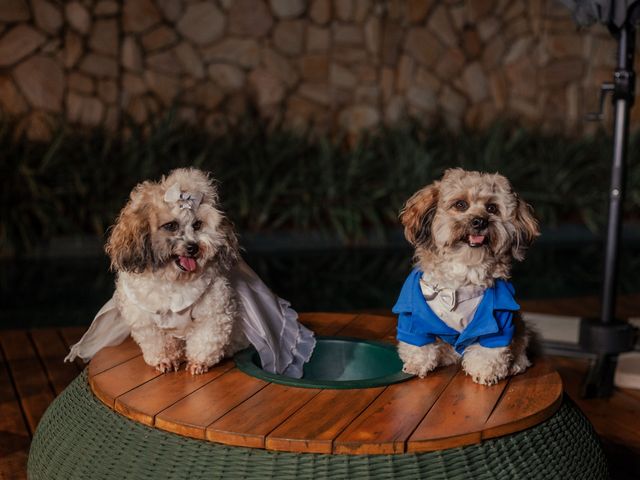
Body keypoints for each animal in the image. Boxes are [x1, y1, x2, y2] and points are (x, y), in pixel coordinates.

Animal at [104, 169, 246, 376]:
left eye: (197, 225)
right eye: (171, 226)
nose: (193, 247)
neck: (172, 280)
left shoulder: (214, 313)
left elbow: (205, 340)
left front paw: (198, 363)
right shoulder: (146, 320)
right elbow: (158, 343)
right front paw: (166, 360)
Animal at [392, 169, 536, 386]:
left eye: (492, 208)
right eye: (460, 205)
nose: (480, 221)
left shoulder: (499, 318)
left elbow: (490, 349)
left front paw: (485, 372)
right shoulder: (413, 314)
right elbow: (418, 343)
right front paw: (417, 364)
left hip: (520, 326)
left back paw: (516, 364)